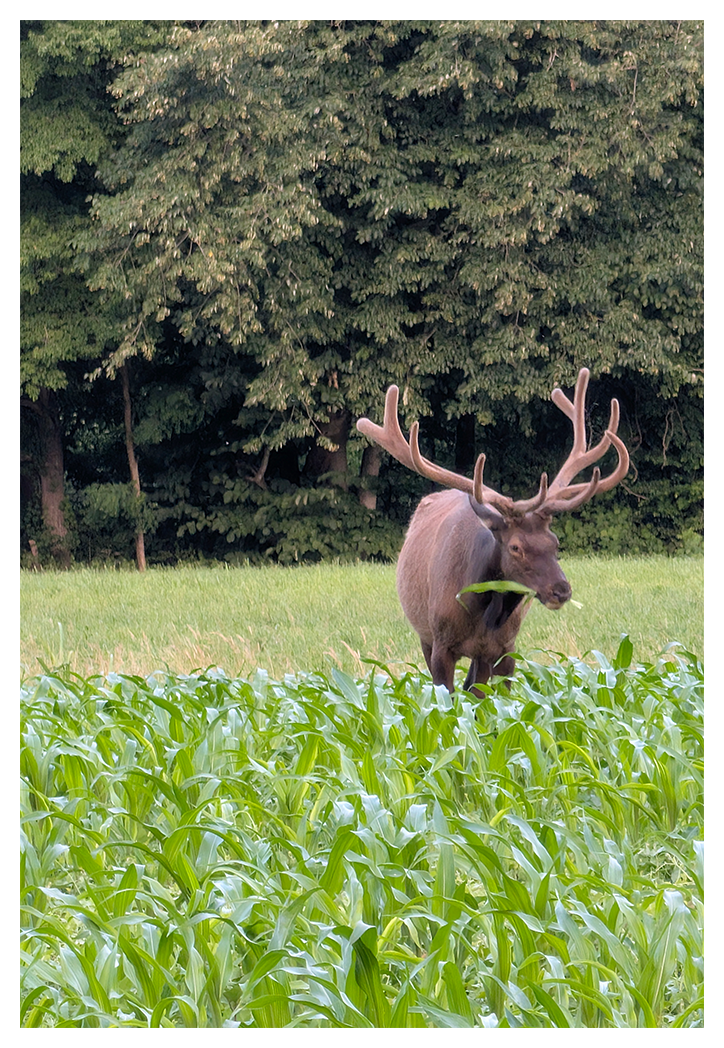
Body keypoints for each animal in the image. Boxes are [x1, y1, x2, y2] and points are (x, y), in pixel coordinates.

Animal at [356, 368, 630, 696]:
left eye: (555, 542)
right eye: (515, 547)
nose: (561, 590)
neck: (480, 613)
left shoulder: (505, 649)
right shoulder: (440, 644)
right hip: (424, 632)